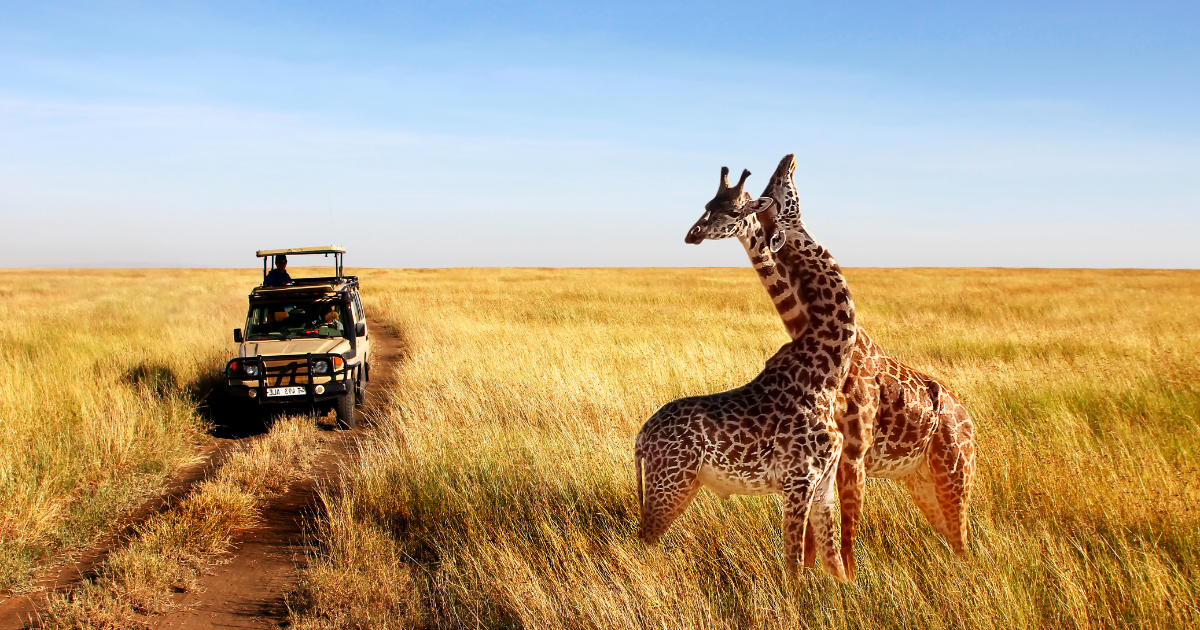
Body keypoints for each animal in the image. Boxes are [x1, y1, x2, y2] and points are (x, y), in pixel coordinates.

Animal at [633, 166, 859, 580]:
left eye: (734, 209)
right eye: (709, 205)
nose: (693, 233)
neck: (827, 373)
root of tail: (641, 437)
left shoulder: (823, 485)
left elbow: (836, 567)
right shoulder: (798, 480)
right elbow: (794, 565)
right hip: (671, 484)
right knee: (644, 540)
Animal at [686, 153, 974, 573]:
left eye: (738, 206)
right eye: (708, 204)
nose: (787, 159)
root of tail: (967, 417)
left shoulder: (850, 454)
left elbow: (842, 537)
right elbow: (815, 538)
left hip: (954, 472)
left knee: (963, 539)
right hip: (921, 478)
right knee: (953, 539)